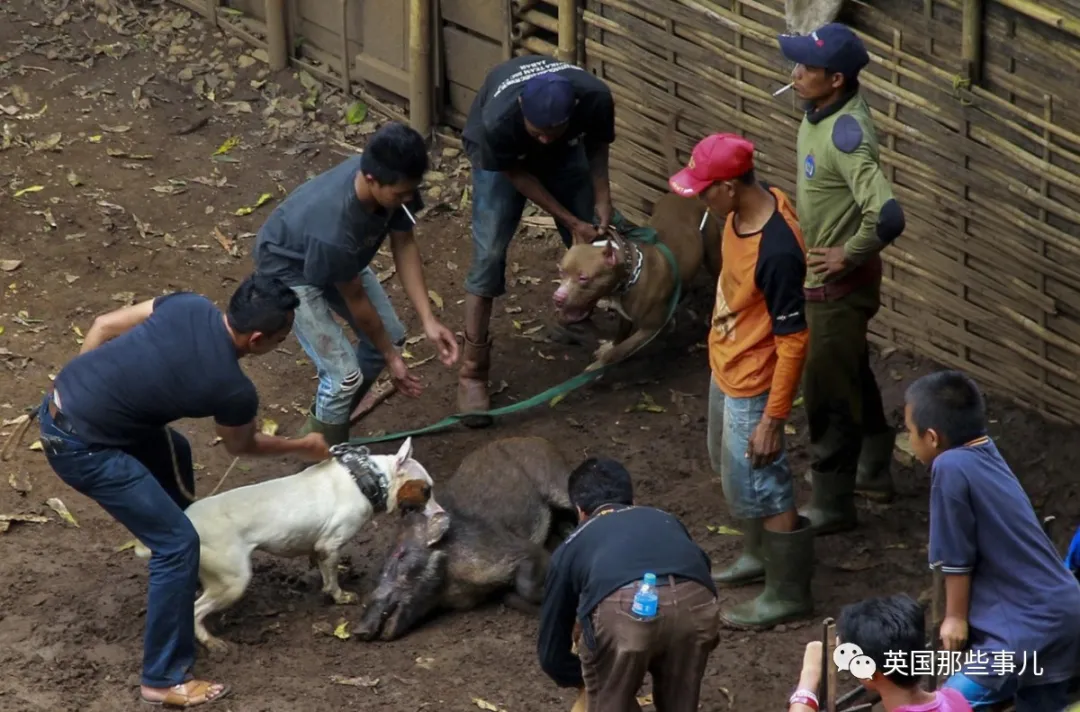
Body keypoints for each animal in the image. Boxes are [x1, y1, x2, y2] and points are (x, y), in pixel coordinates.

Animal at [136, 436, 442, 652]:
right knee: (196, 610)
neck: (365, 478)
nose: (441, 515)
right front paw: (339, 595)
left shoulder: (319, 548)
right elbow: (332, 579)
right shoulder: (331, 545)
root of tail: (189, 521)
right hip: (234, 580)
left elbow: (320, 566)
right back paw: (210, 641)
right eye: (426, 490)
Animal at [552, 193, 721, 373]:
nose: (558, 298)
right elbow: (622, 332)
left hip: (713, 256)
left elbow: (619, 351)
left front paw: (596, 368)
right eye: (561, 271)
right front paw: (611, 345)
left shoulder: (649, 328)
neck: (630, 273)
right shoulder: (624, 312)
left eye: (584, 278)